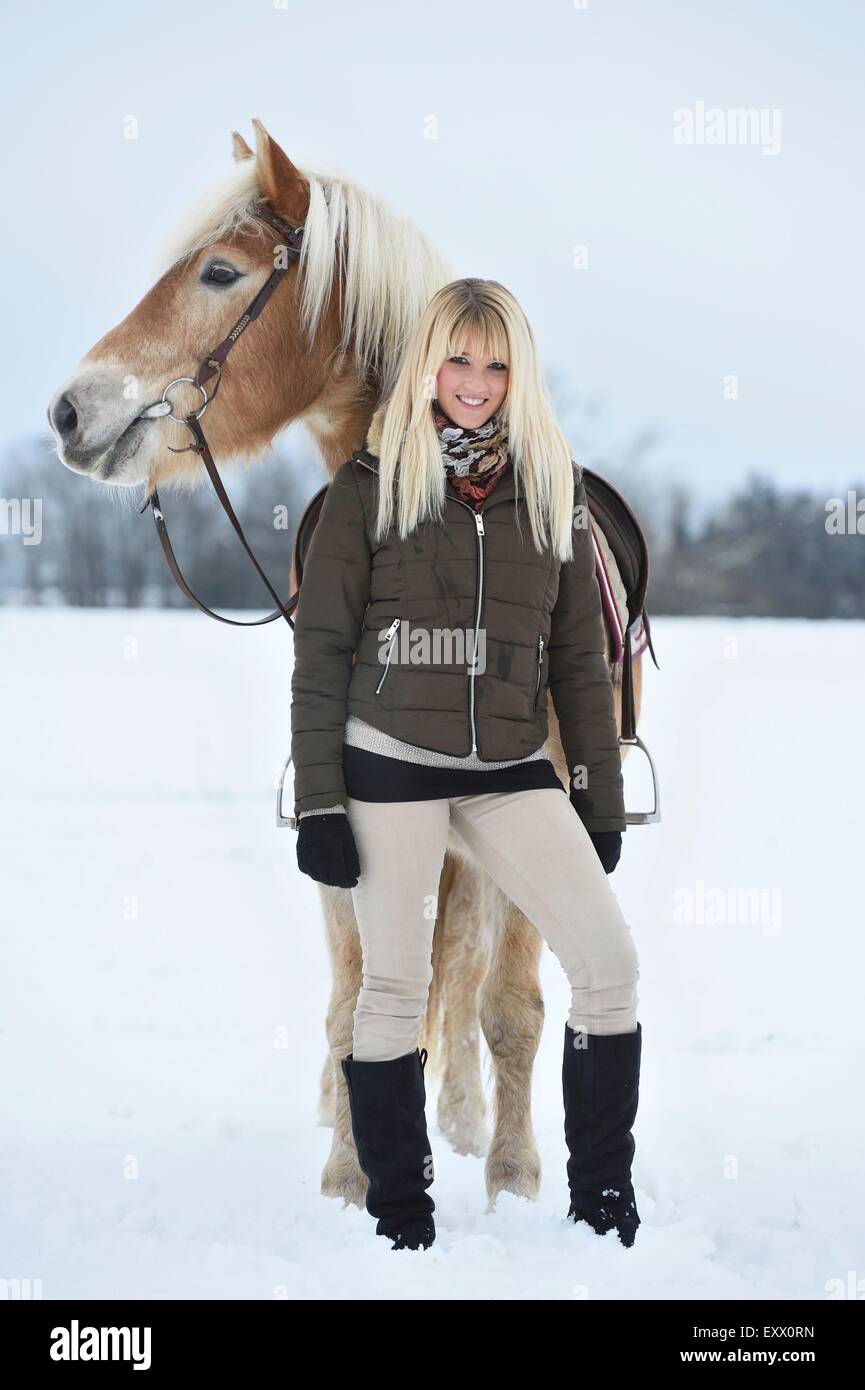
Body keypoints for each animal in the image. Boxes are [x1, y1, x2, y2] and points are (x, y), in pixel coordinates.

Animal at [47, 118, 646, 1212]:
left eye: (220, 271)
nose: (70, 411)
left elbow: (509, 1006)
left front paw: (512, 1179)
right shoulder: (343, 825)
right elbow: (357, 998)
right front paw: (350, 1177)